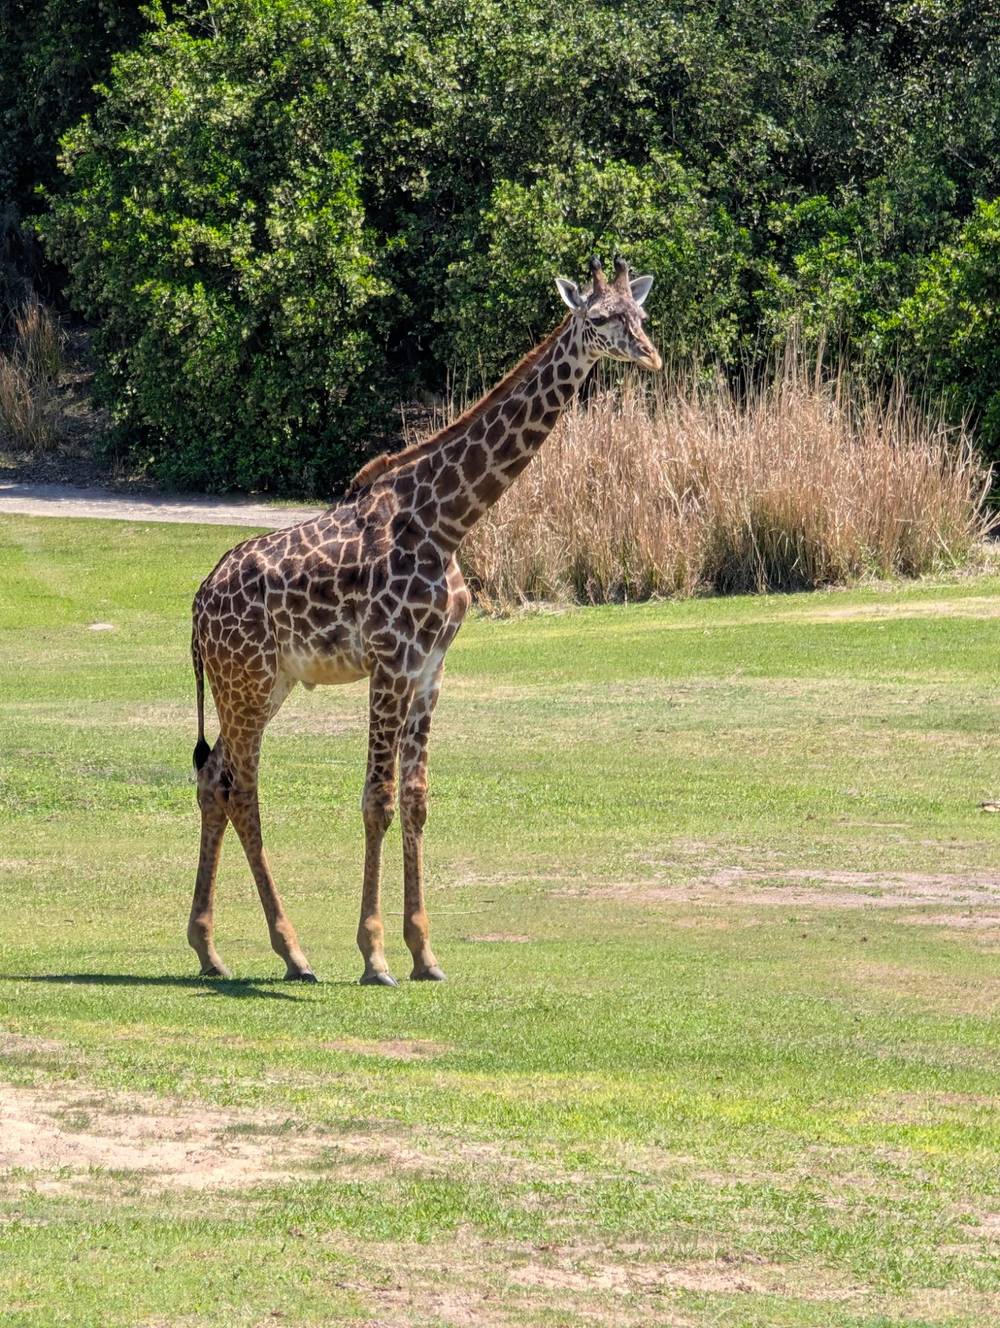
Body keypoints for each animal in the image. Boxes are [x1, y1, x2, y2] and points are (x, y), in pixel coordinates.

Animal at [188, 256, 662, 985]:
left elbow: (414, 798)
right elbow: (376, 799)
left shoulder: (431, 666)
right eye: (601, 317)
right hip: (246, 680)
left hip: (264, 684)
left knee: (214, 779)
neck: (448, 522)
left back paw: (210, 949)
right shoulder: (389, 659)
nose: (650, 356)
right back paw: (292, 952)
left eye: (640, 315)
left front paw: (424, 953)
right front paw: (375, 955)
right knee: (240, 789)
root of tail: (197, 604)